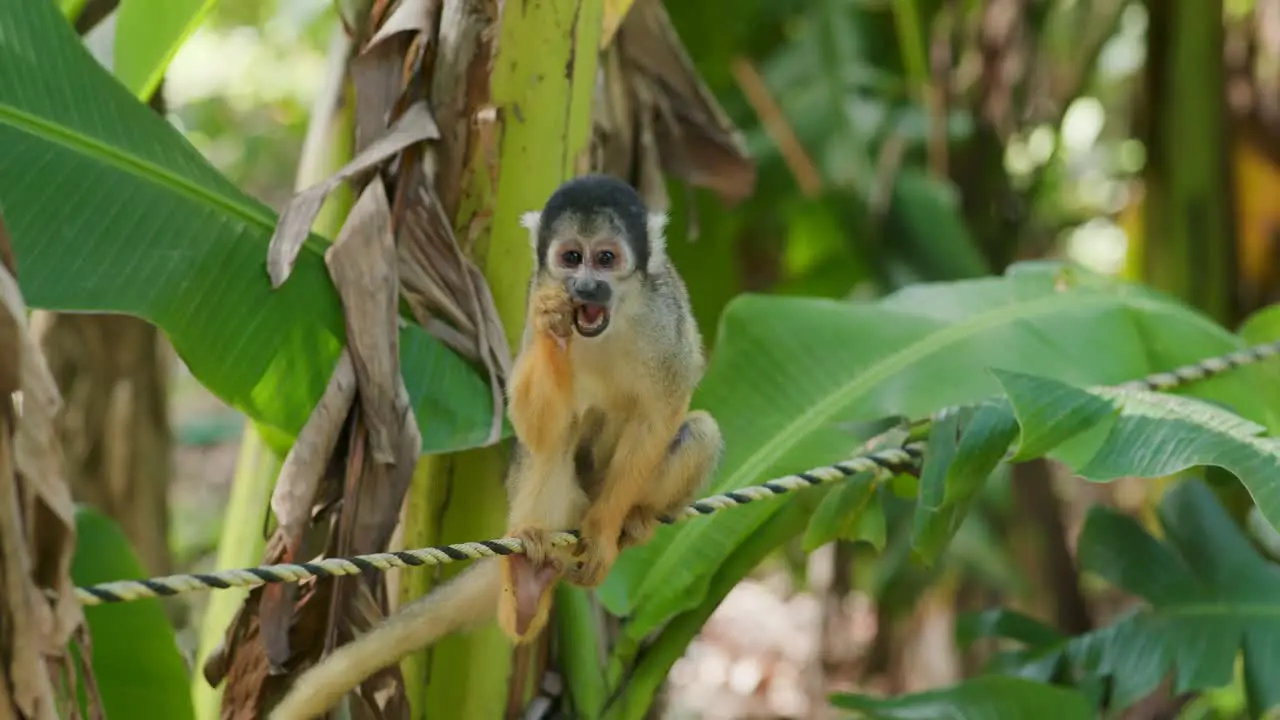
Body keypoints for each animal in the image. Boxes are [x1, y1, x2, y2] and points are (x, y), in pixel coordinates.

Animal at [268, 175, 721, 717]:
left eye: (606, 258)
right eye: (572, 258)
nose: (585, 287)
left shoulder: (665, 314)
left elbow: (660, 413)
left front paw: (606, 531)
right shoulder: (534, 292)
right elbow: (537, 425)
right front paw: (552, 330)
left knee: (698, 430)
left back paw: (632, 521)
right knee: (552, 446)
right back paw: (526, 582)